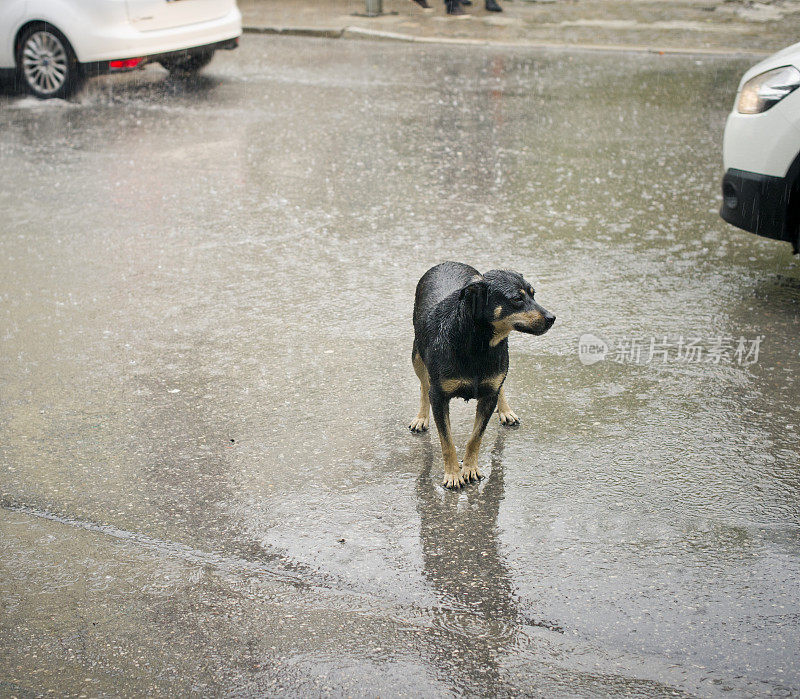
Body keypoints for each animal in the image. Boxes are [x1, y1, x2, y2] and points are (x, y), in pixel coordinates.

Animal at [410, 262, 552, 486]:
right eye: (517, 299)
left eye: (533, 294)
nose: (552, 318)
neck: (478, 343)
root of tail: (450, 262)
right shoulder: (439, 397)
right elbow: (447, 441)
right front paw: (453, 474)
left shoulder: (488, 395)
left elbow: (475, 437)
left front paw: (469, 468)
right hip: (416, 356)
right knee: (424, 385)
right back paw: (422, 417)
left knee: (501, 385)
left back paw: (506, 411)